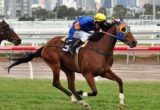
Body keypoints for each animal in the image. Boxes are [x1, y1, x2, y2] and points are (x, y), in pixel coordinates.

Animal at [8, 20, 137, 110]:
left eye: (129, 28)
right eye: (123, 29)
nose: (134, 42)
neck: (100, 49)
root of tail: (45, 45)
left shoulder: (104, 72)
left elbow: (120, 81)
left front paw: (121, 103)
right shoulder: (88, 74)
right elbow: (95, 91)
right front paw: (81, 94)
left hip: (69, 69)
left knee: (70, 86)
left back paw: (76, 98)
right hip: (55, 64)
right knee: (57, 83)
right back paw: (79, 100)